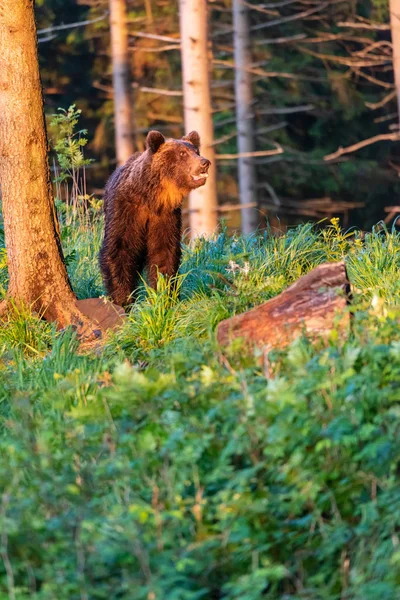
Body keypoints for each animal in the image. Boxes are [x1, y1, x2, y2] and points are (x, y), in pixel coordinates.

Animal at [99, 132, 209, 310]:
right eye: (182, 153)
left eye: (196, 151)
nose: (204, 162)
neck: (151, 199)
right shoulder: (125, 211)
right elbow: (119, 250)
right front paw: (123, 300)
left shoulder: (165, 217)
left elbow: (163, 253)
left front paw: (164, 296)